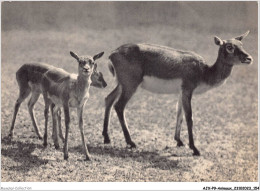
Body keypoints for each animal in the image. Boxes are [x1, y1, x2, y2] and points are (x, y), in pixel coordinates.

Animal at [102, 31, 253, 155]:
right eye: (229, 47)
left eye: (241, 44)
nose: (249, 58)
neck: (204, 72)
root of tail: (112, 54)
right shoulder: (187, 90)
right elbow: (189, 117)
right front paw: (195, 148)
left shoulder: (181, 93)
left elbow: (179, 114)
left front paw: (179, 141)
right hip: (130, 85)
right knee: (119, 106)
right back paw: (131, 142)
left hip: (121, 84)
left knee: (108, 99)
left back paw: (106, 138)